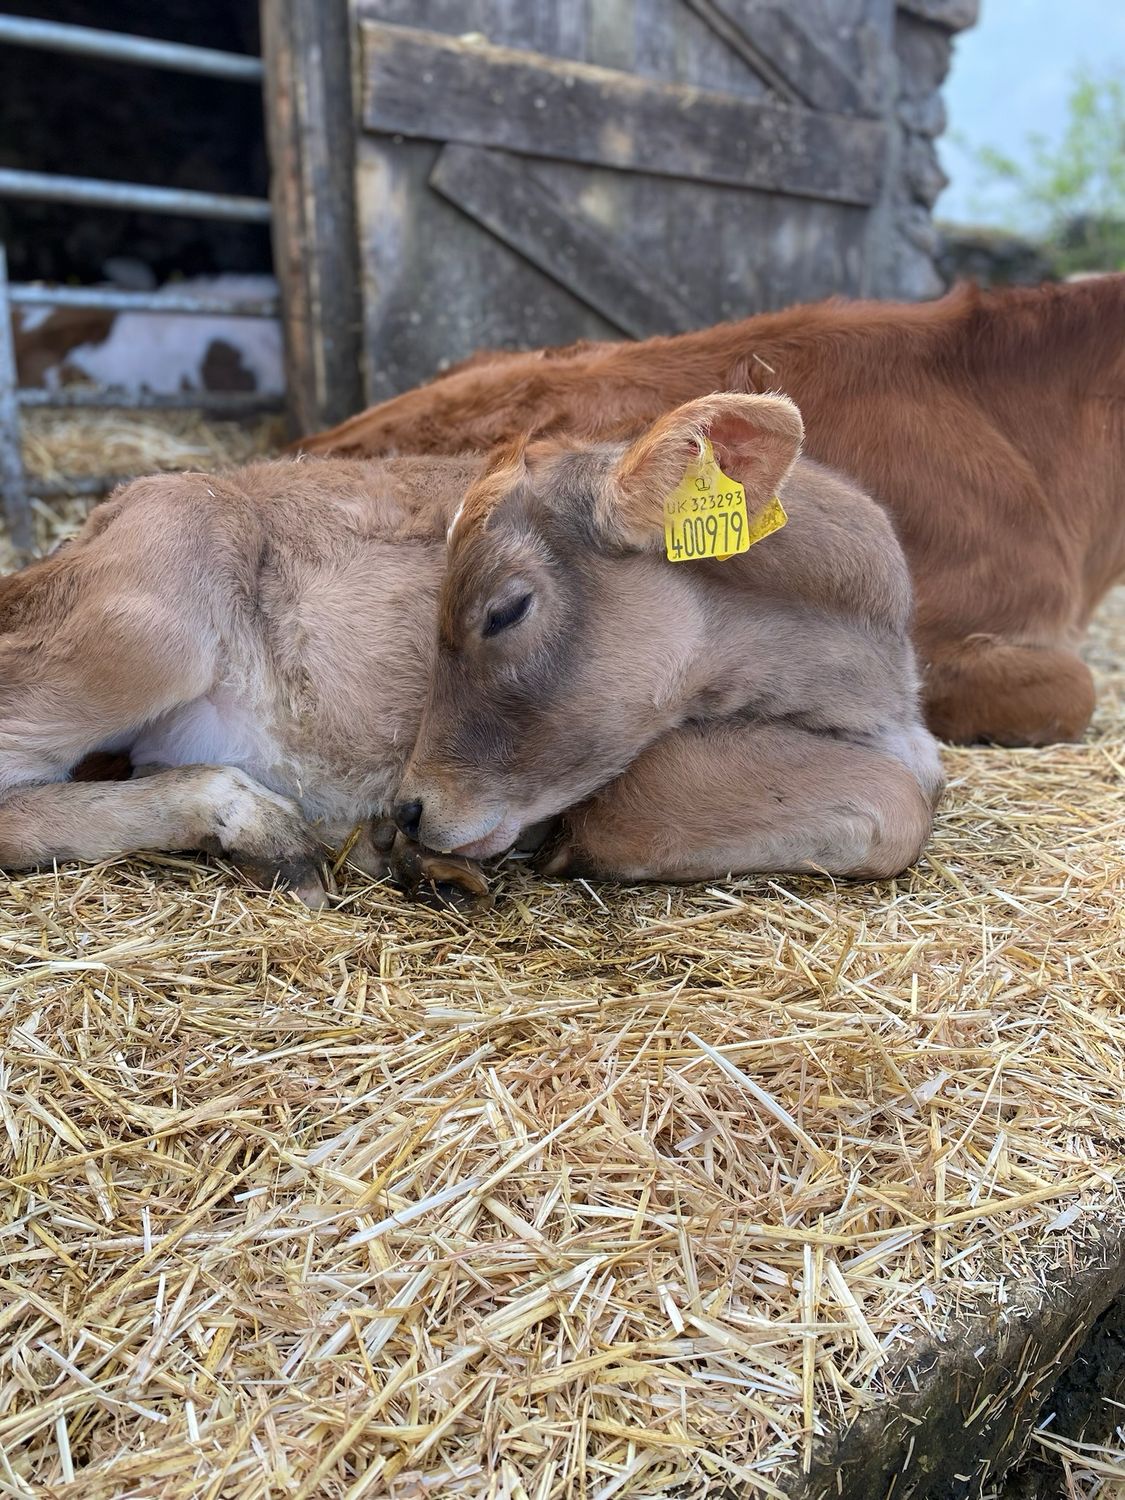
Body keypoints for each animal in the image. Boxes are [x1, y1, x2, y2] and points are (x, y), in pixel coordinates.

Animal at [0, 395, 941, 905]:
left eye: (504, 610)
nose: (409, 811)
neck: (873, 680)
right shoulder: (638, 778)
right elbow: (895, 804)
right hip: (148, 618)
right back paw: (258, 822)